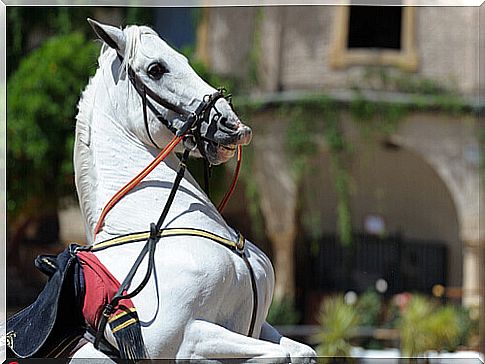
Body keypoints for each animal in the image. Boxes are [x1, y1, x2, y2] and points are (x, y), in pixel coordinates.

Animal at [70, 19, 316, 362]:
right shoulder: (187, 339)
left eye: (185, 60)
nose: (233, 125)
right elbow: (279, 355)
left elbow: (301, 351)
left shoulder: (259, 326)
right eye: (156, 69)